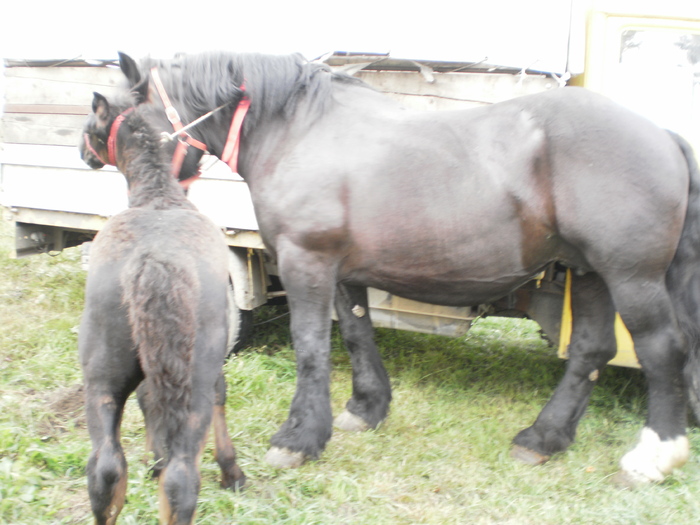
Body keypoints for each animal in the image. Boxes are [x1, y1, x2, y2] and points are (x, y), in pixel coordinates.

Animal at [80, 92, 246, 520]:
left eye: (88, 127)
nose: (83, 154)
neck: (158, 197)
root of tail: (153, 262)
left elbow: (148, 400)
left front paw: (154, 458)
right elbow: (221, 396)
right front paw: (232, 472)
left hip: (101, 379)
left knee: (105, 467)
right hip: (192, 384)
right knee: (181, 479)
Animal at [105, 52, 700, 484]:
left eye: (120, 114)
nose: (97, 160)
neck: (301, 131)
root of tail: (664, 135)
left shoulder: (305, 260)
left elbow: (311, 346)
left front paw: (298, 438)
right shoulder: (342, 270)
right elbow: (356, 333)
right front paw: (366, 408)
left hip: (631, 276)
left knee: (662, 350)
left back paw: (655, 455)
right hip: (590, 272)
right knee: (591, 350)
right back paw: (542, 438)